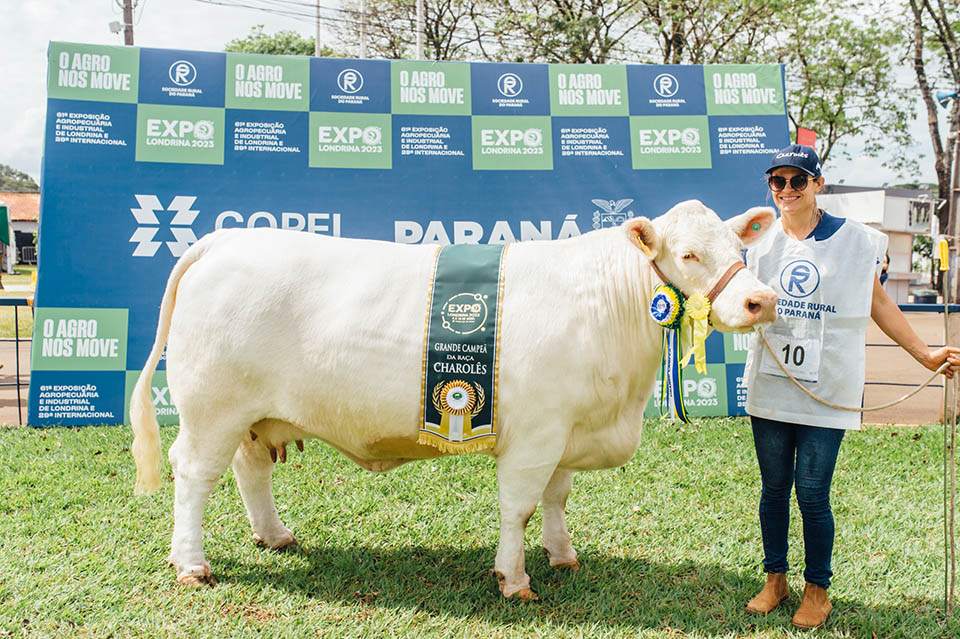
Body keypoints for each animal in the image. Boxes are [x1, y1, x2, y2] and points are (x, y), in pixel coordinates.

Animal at [131, 199, 780, 600]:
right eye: (689, 254)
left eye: (740, 248)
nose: (760, 301)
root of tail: (222, 241)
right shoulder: (535, 434)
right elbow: (519, 506)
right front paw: (514, 579)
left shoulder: (565, 429)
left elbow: (557, 498)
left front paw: (563, 555)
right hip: (212, 407)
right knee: (194, 476)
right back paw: (191, 565)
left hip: (254, 413)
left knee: (249, 470)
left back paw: (275, 535)